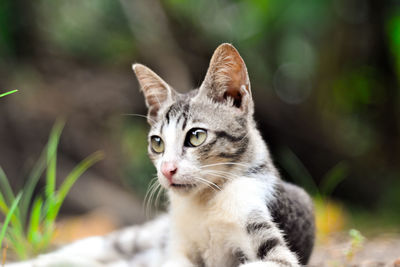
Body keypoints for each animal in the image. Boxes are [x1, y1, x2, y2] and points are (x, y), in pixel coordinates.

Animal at [4, 44, 314, 267]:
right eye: (157, 143)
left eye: (196, 136)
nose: (167, 169)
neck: (204, 204)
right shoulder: (175, 247)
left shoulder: (271, 244)